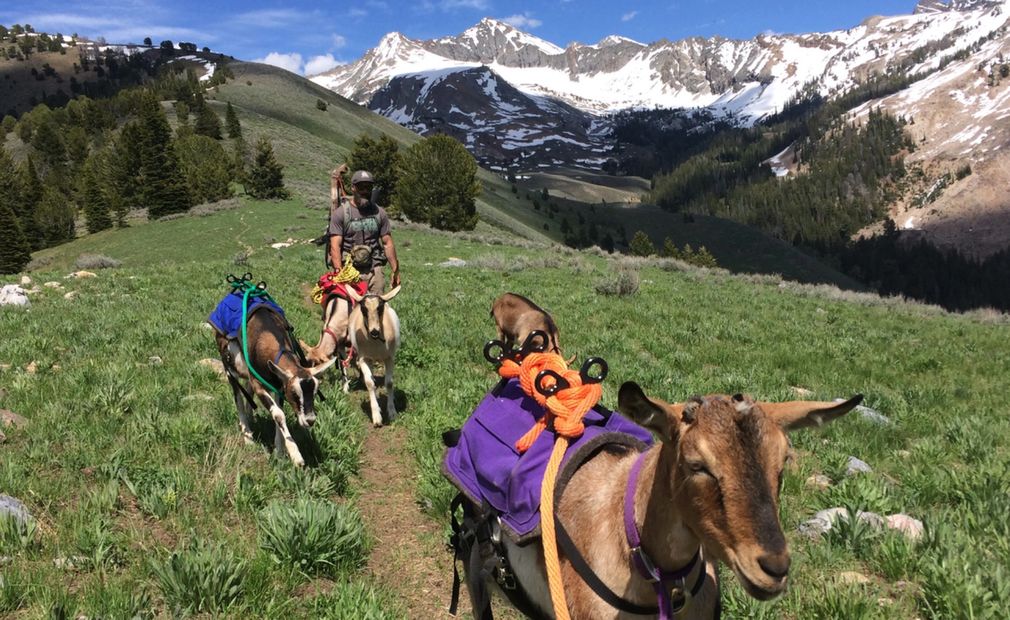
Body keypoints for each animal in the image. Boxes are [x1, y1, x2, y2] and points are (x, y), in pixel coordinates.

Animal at [215, 309, 336, 467]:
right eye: (294, 393)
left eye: (315, 393)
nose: (310, 420)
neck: (265, 332)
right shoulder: (259, 385)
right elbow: (278, 414)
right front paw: (295, 455)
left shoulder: (278, 385)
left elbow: (279, 412)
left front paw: (280, 451)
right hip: (230, 367)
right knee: (238, 398)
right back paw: (247, 435)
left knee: (247, 390)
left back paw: (250, 416)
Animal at [345, 285, 401, 427]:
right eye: (363, 309)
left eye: (380, 307)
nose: (374, 331)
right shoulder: (363, 358)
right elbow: (370, 383)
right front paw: (376, 417)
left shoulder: (389, 358)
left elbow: (389, 383)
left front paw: (392, 413)